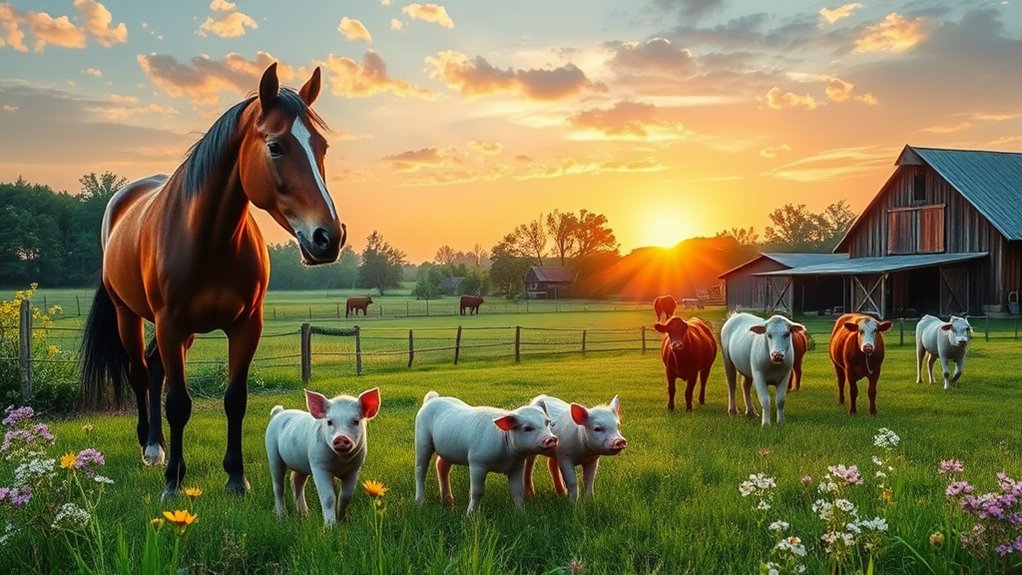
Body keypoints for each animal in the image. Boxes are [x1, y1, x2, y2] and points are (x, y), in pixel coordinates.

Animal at [79, 61, 343, 494]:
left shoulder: (245, 326)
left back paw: (158, 445)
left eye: (321, 147)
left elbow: (235, 399)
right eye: (275, 146)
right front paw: (173, 481)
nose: (329, 237)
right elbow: (178, 404)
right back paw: (150, 449)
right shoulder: (169, 323)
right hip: (129, 316)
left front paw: (236, 477)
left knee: (155, 368)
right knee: (139, 372)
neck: (209, 240)